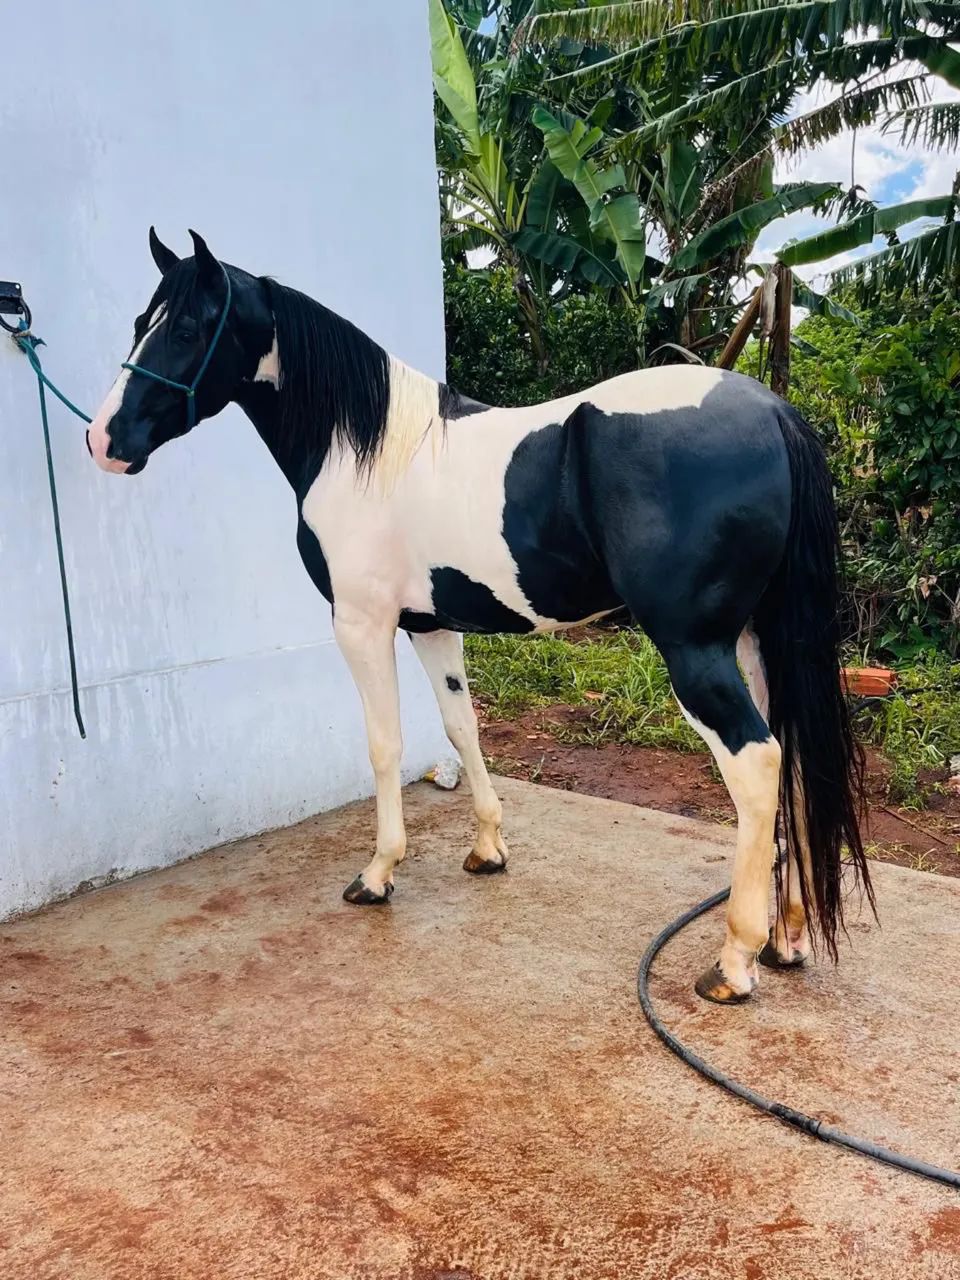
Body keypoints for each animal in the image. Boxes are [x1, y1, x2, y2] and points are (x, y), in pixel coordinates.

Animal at [86, 229, 872, 1004]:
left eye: (187, 330)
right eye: (141, 321)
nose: (103, 441)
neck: (363, 451)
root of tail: (773, 413)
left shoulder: (362, 625)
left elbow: (385, 745)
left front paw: (379, 873)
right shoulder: (431, 625)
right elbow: (461, 726)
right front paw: (488, 848)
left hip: (695, 648)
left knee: (757, 763)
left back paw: (734, 960)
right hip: (756, 640)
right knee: (793, 760)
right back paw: (787, 940)